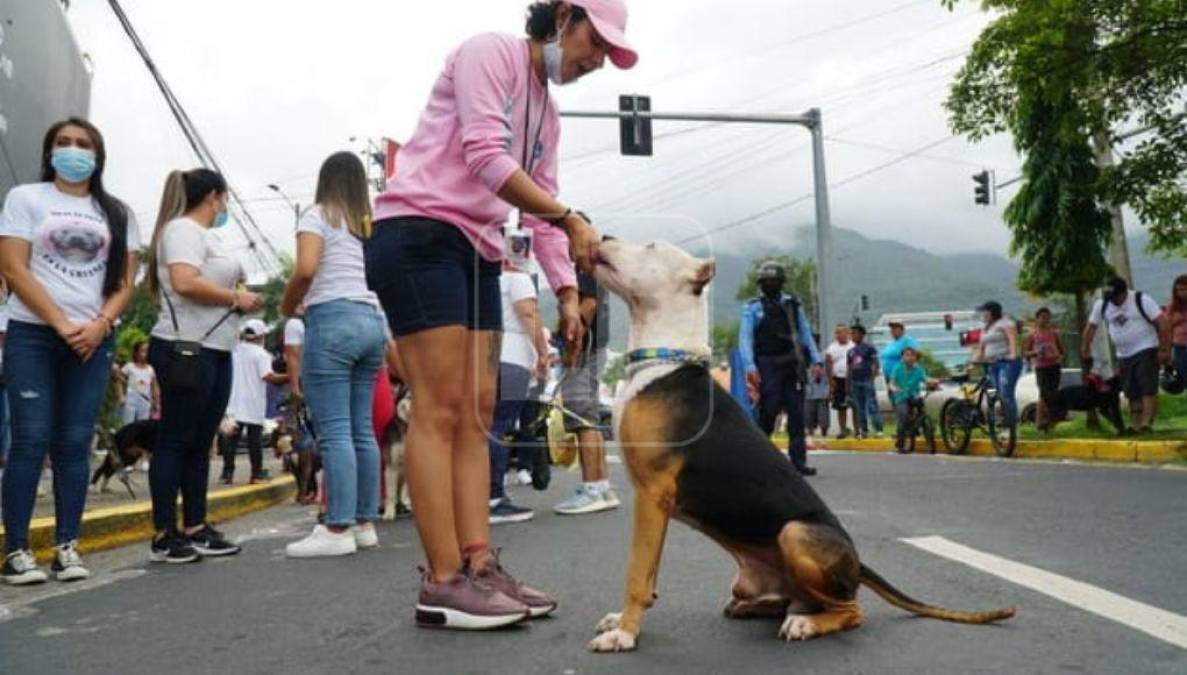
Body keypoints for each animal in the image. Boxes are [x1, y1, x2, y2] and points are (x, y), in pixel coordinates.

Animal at [588, 239, 1016, 650]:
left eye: (651, 247)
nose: (603, 236)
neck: (665, 359)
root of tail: (858, 562)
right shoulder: (654, 500)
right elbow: (648, 572)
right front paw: (624, 621)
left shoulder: (652, 494)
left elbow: (637, 573)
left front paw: (625, 633)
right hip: (755, 578)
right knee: (788, 600)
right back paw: (769, 608)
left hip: (795, 534)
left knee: (850, 609)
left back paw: (806, 624)